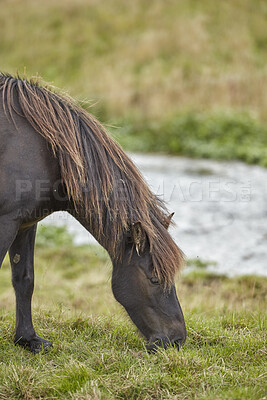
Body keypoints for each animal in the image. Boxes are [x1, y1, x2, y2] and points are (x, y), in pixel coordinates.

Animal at [0, 72, 186, 354]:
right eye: (154, 279)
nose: (177, 340)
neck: (45, 151)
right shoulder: (6, 221)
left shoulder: (25, 223)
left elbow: (24, 279)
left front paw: (28, 339)